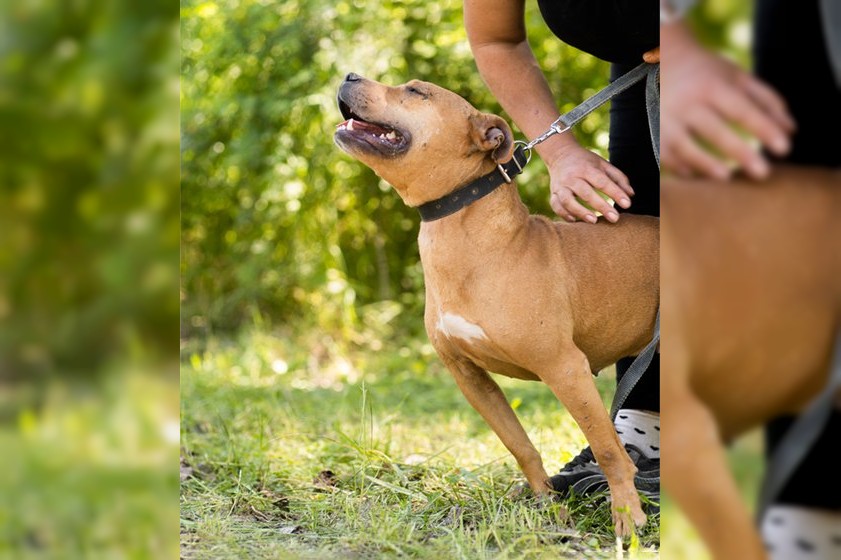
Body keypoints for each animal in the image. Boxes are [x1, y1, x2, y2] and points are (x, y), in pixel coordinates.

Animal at [332, 72, 660, 536]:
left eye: (416, 91)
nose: (349, 75)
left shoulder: (565, 368)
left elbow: (608, 449)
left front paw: (628, 516)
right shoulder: (471, 378)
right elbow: (520, 445)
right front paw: (548, 506)